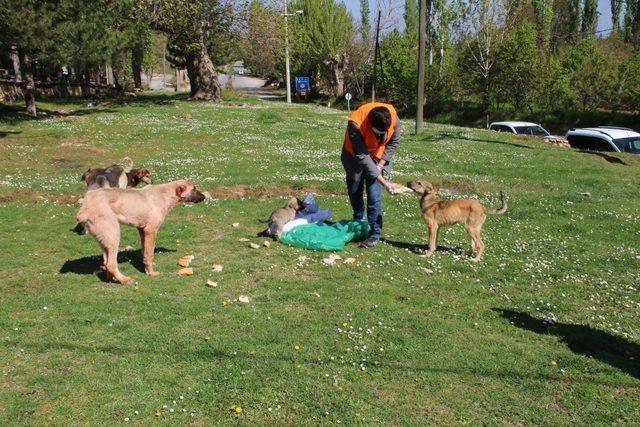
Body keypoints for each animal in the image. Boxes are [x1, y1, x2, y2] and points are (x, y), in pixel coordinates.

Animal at [75, 180, 206, 284]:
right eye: (194, 189)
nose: (204, 197)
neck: (166, 194)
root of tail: (85, 208)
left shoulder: (142, 230)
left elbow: (145, 252)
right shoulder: (151, 230)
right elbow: (150, 254)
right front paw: (151, 272)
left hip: (105, 239)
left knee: (106, 261)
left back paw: (111, 278)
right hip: (114, 234)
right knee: (111, 264)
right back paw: (123, 279)